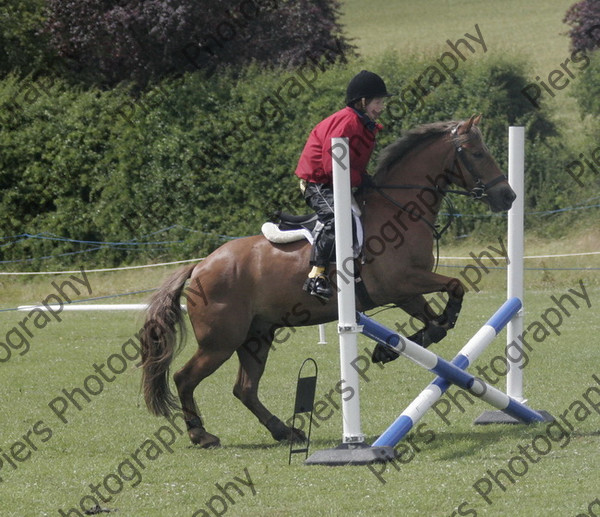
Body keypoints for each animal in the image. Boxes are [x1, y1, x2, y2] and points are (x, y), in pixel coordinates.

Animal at [139, 115, 516, 446]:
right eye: (477, 153)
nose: (508, 196)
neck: (400, 209)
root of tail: (200, 267)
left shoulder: (408, 292)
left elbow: (437, 323)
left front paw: (388, 349)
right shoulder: (401, 283)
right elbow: (455, 286)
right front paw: (392, 347)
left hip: (256, 336)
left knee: (245, 388)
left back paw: (285, 431)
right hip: (220, 341)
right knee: (185, 378)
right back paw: (201, 435)